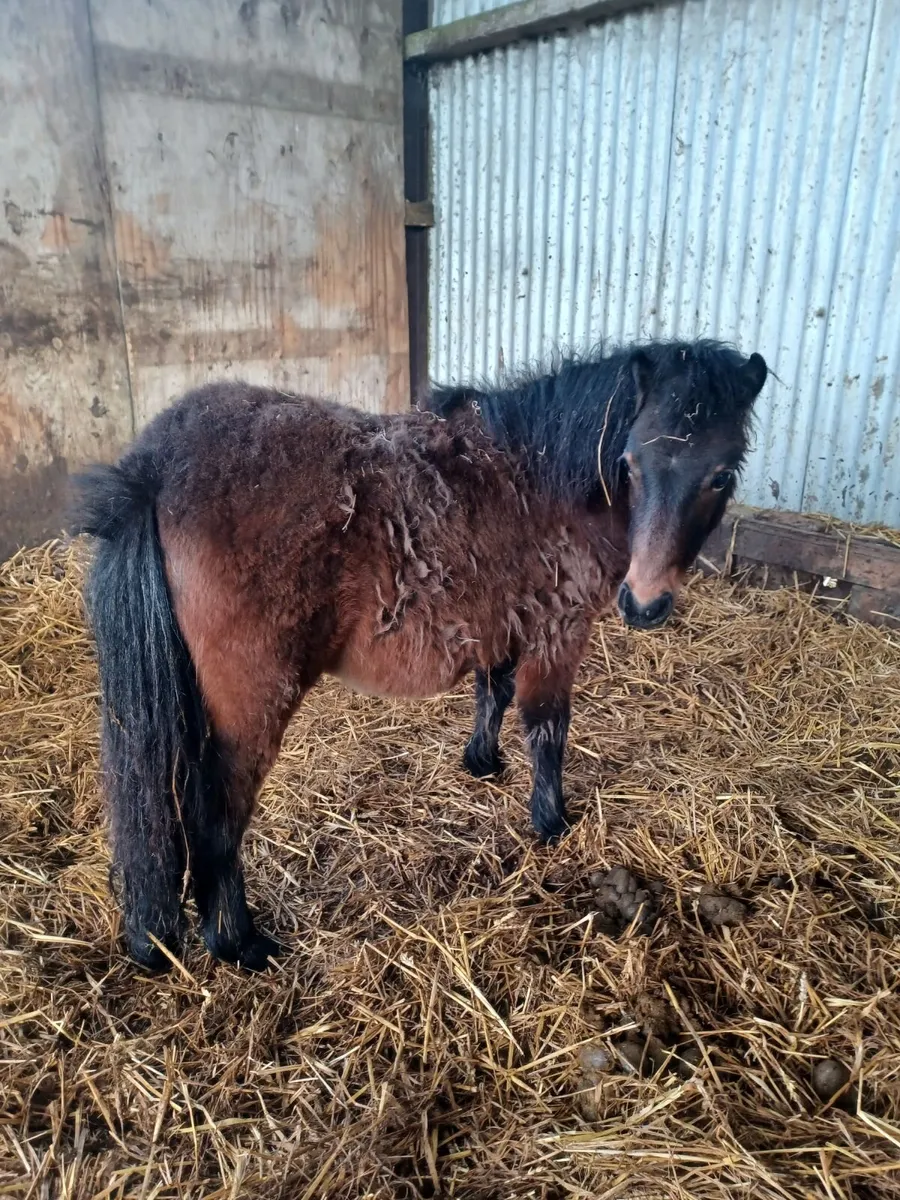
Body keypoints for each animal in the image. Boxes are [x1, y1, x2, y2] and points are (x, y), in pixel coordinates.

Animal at [73, 339, 767, 972]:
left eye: (720, 475)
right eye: (631, 463)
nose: (645, 603)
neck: (543, 478)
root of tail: (154, 470)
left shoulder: (502, 621)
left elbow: (494, 691)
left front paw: (482, 763)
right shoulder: (559, 632)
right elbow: (547, 727)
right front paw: (552, 822)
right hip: (250, 709)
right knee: (216, 815)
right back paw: (238, 943)